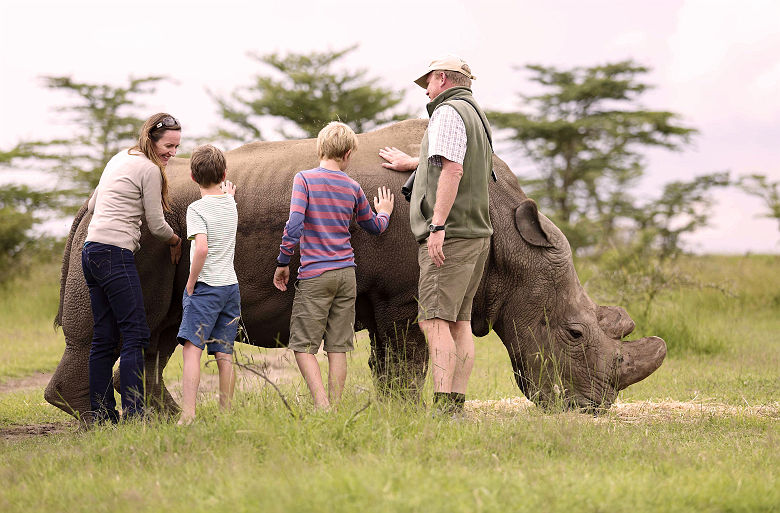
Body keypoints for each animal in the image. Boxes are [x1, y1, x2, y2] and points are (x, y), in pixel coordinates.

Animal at [44, 118, 664, 414]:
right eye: (574, 333)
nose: (594, 408)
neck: (508, 238)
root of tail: (86, 202)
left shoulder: (397, 294)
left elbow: (394, 361)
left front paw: (397, 414)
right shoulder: (405, 293)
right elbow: (407, 360)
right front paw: (408, 415)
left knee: (159, 334)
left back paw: (160, 419)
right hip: (134, 232)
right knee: (129, 328)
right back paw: (117, 423)